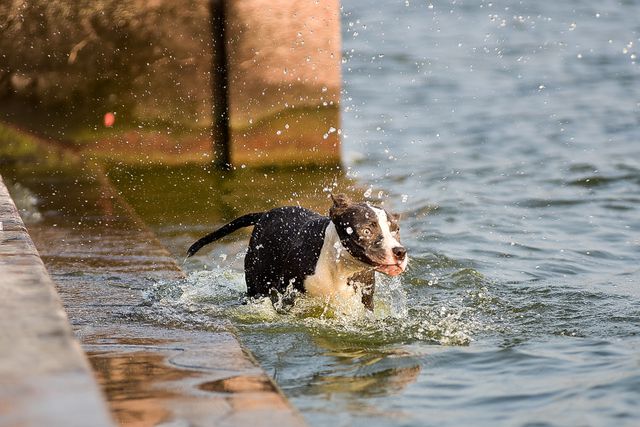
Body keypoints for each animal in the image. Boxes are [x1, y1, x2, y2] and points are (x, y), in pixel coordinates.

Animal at [185, 195, 408, 310]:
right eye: (367, 231)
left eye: (396, 230)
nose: (400, 252)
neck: (340, 266)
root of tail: (264, 214)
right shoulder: (287, 295)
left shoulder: (364, 300)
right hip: (257, 284)